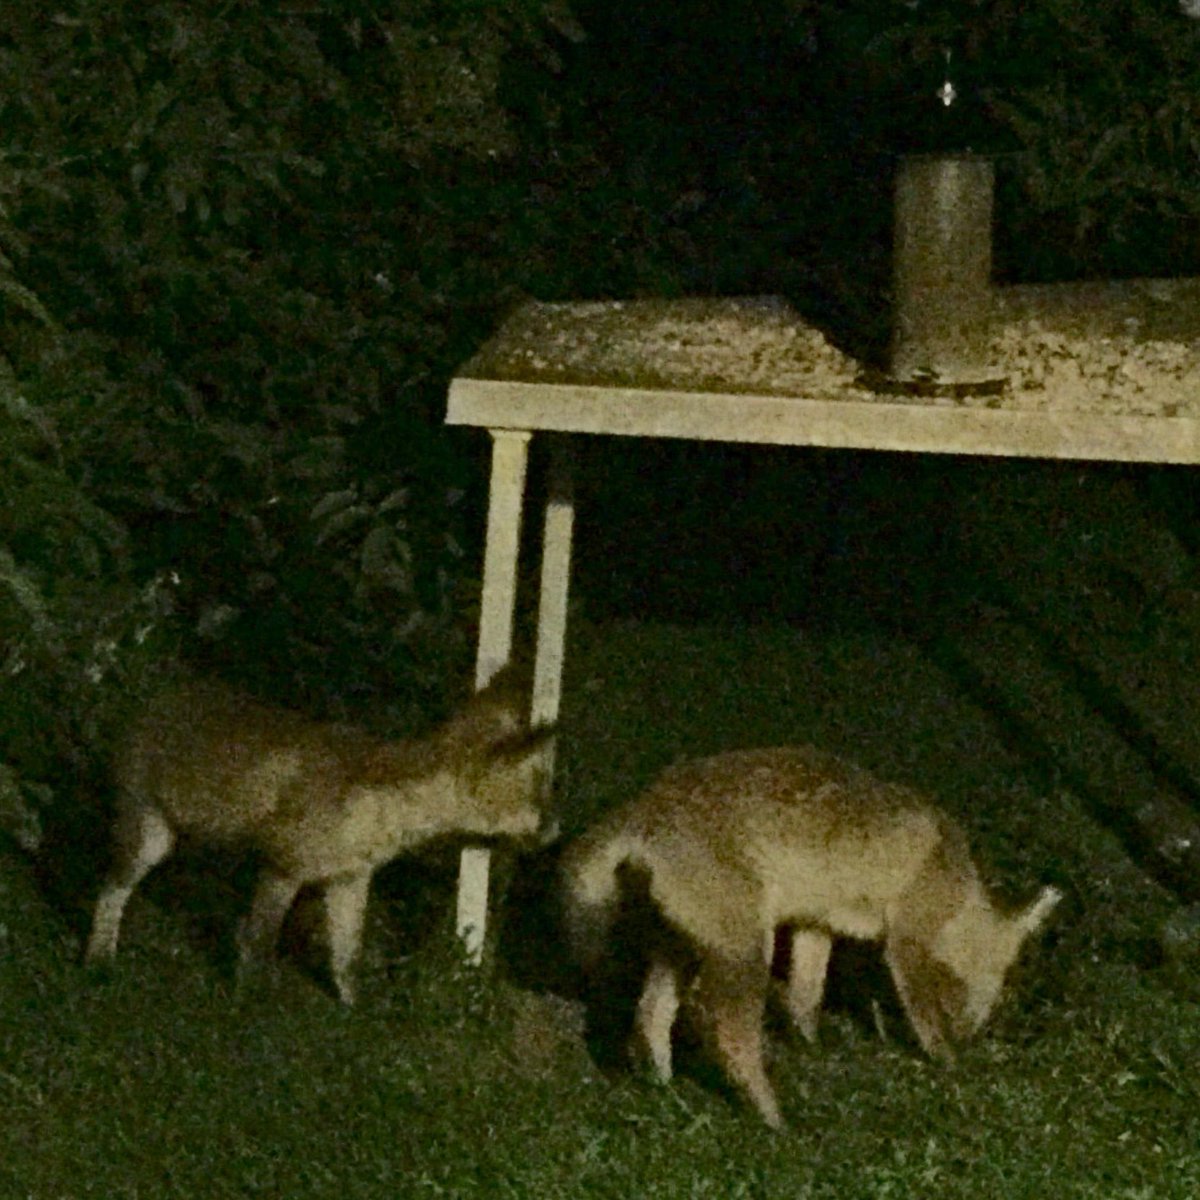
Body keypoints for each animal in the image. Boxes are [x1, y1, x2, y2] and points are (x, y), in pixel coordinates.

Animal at [84, 664, 556, 1004]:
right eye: (539, 794)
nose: (557, 829)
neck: (382, 814)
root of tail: (150, 702)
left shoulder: (347, 881)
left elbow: (347, 959)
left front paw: (354, 1016)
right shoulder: (284, 866)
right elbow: (256, 943)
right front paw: (245, 1007)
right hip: (149, 840)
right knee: (110, 889)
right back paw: (99, 960)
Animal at [561, 746, 1060, 1128]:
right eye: (997, 980)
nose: (972, 1036)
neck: (953, 879)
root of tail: (647, 803)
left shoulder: (815, 927)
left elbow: (805, 998)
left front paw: (813, 1049)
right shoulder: (905, 944)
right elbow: (923, 1018)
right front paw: (951, 1066)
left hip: (681, 947)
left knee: (650, 1016)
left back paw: (662, 1088)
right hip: (746, 950)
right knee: (728, 1034)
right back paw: (772, 1118)